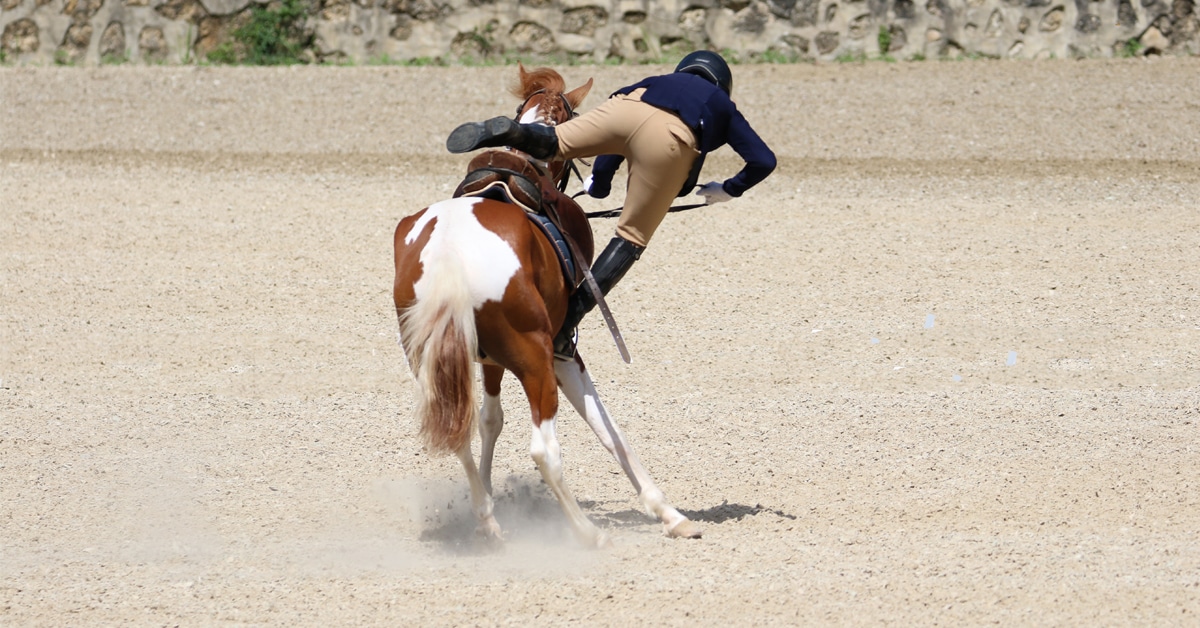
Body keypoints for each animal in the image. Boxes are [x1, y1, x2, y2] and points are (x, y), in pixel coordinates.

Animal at [392, 65, 702, 548]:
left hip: (433, 361)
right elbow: (608, 428)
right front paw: (668, 513)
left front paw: (487, 501)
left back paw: (489, 522)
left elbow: (490, 420)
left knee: (460, 432)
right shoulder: (564, 353)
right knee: (543, 449)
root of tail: (448, 255)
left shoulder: (489, 360)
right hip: (535, 360)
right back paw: (587, 532)